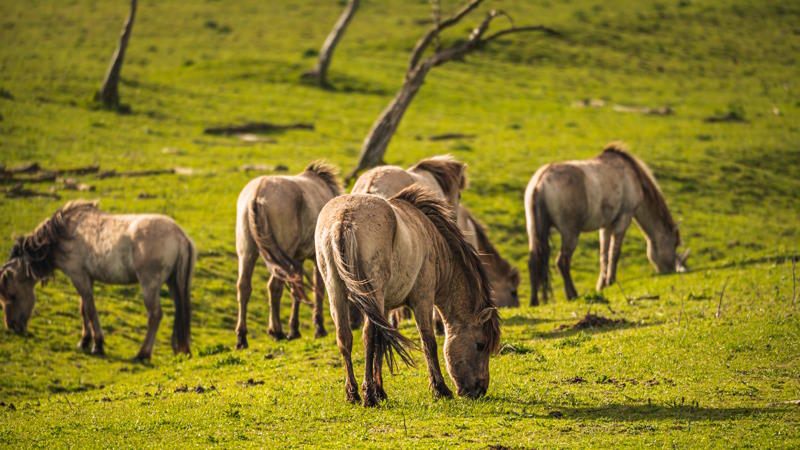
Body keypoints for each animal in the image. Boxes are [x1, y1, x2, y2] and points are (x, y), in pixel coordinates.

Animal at [0, 200, 195, 358]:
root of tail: (180, 236)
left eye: (11, 296)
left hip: (149, 286)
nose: (12, 326)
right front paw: (84, 341)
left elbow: (90, 309)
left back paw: (143, 354)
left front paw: (97, 345)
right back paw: (181, 351)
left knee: (155, 315)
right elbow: (83, 308)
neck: (64, 233)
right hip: (173, 284)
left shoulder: (78, 276)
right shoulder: (85, 278)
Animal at [234, 162, 350, 348]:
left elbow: (296, 292)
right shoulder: (315, 258)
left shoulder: (297, 259)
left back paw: (241, 338)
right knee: (274, 287)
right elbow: (318, 288)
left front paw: (294, 330)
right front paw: (319, 328)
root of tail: (257, 192)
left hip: (247, 253)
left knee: (244, 287)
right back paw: (276, 331)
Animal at [314, 185, 496, 406]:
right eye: (480, 345)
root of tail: (344, 218)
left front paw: (381, 391)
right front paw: (440, 389)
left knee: (344, 337)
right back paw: (368, 396)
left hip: (336, 292)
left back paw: (353, 393)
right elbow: (428, 341)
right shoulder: (422, 299)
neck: (432, 238)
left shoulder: (383, 307)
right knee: (366, 336)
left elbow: (381, 343)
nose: (479, 390)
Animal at [524, 143, 688, 306]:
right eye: (674, 244)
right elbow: (615, 253)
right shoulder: (624, 218)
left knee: (533, 262)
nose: (672, 270)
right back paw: (572, 294)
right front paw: (611, 280)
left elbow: (604, 255)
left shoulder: (606, 226)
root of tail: (540, 182)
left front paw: (601, 284)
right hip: (570, 233)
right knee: (562, 262)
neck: (631, 174)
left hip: (533, 230)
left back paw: (534, 301)